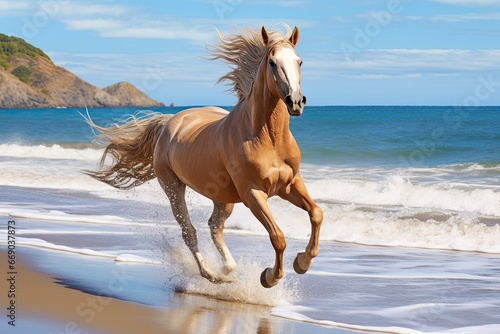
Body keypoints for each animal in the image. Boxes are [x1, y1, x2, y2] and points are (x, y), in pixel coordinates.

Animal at [84, 24, 322, 288]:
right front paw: (269, 277)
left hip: (223, 198)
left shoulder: (290, 184)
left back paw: (228, 269)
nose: (296, 101)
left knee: (214, 227)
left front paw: (302, 262)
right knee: (190, 231)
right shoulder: (253, 193)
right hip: (174, 188)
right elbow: (278, 236)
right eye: (272, 62)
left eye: (299, 61)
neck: (268, 139)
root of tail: (170, 122)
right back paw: (212, 274)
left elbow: (316, 214)